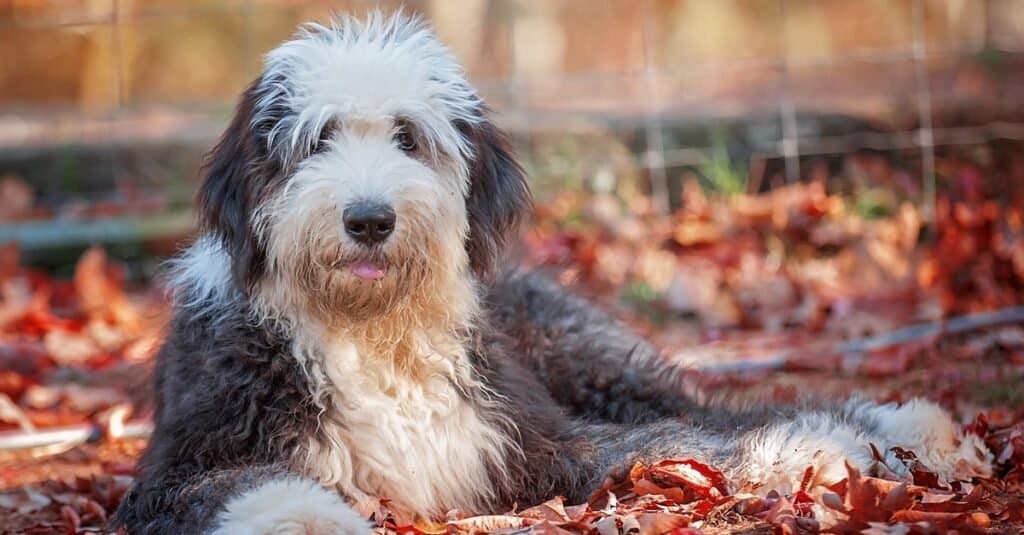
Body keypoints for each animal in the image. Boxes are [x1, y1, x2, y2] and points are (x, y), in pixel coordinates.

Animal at [112, 12, 991, 532]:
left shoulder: (531, 437)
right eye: (316, 140)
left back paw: (912, 429)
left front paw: (814, 453)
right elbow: (244, 485)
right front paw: (308, 517)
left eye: (407, 137)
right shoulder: (179, 465)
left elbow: (676, 443)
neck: (372, 336)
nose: (368, 218)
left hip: (589, 359)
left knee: (710, 407)